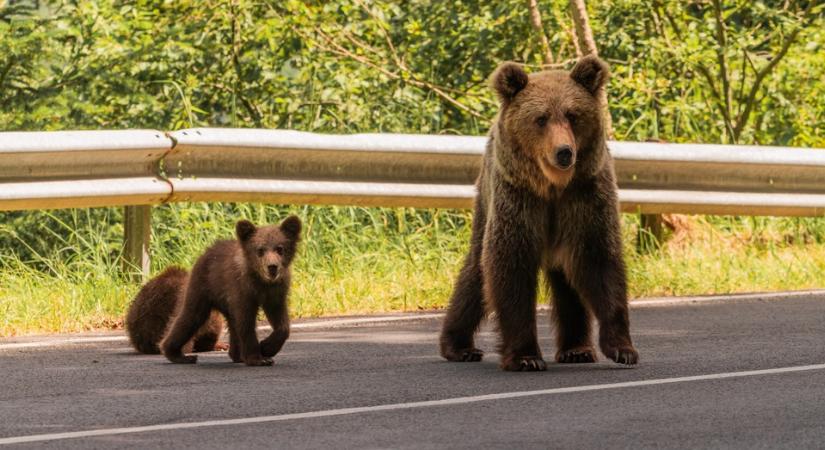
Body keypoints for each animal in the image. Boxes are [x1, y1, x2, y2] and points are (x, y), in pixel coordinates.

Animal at [438, 55, 636, 372]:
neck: (553, 187)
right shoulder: (520, 199)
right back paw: (458, 346)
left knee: (568, 280)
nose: (564, 152)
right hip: (487, 197)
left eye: (572, 115)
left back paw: (576, 349)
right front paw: (526, 356)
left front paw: (623, 349)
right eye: (541, 118)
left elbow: (599, 259)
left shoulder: (586, 196)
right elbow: (510, 265)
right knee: (475, 272)